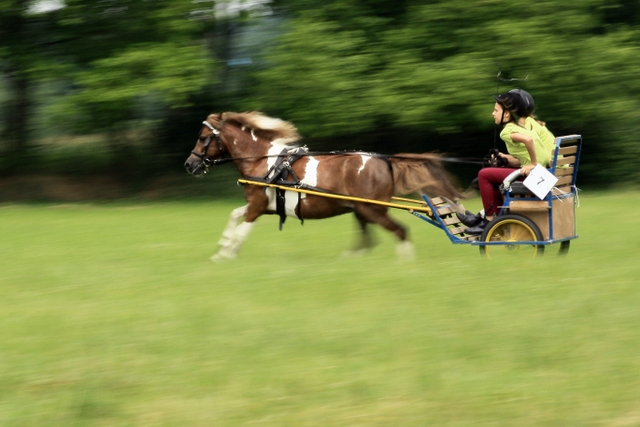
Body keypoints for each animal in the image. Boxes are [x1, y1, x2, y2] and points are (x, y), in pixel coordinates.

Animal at [182, 111, 462, 260]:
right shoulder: (260, 205)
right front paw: (222, 249)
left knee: (400, 231)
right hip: (362, 210)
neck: (264, 162)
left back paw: (405, 264)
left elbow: (242, 231)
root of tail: (385, 161)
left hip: (372, 209)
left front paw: (227, 254)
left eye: (203, 138)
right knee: (368, 240)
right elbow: (233, 217)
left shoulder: (258, 205)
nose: (189, 165)